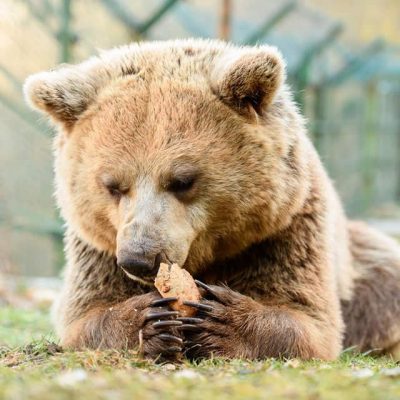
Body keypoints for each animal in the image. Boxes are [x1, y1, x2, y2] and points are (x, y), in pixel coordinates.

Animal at [24, 39, 400, 360]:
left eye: (182, 180)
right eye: (113, 185)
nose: (139, 258)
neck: (212, 253)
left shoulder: (285, 230)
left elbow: (308, 317)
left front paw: (221, 320)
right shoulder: (98, 248)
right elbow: (85, 315)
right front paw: (151, 319)